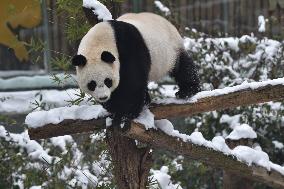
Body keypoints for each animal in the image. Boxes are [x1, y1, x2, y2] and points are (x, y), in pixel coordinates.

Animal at [71, 12, 200, 122]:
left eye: (108, 81)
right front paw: (113, 107)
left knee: (183, 68)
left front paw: (126, 113)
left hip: (171, 50)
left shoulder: (128, 47)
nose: (103, 97)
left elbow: (133, 81)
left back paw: (187, 91)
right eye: (92, 84)